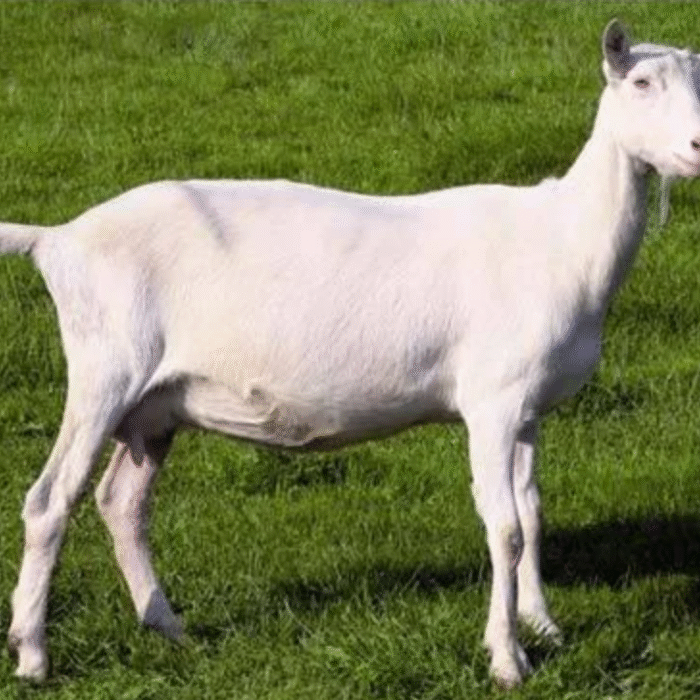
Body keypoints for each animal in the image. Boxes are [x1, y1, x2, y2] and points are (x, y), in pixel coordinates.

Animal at [3, 21, 700, 687]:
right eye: (640, 83)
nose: (697, 147)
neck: (563, 237)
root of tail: (57, 239)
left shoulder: (528, 409)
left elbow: (531, 515)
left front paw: (544, 626)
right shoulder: (492, 401)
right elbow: (503, 527)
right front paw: (508, 658)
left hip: (156, 407)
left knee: (121, 503)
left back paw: (169, 627)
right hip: (105, 367)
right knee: (49, 501)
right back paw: (33, 654)